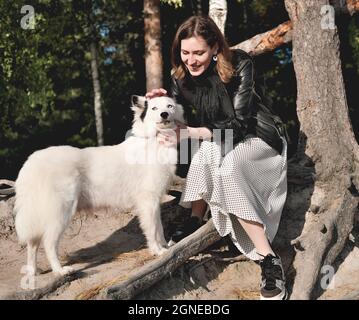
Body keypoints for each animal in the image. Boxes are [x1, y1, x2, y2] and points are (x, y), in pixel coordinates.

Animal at [14, 94, 184, 276]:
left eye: (169, 106)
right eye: (154, 108)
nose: (164, 114)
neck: (154, 140)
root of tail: (33, 161)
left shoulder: (155, 202)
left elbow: (159, 228)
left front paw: (165, 245)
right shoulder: (148, 201)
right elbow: (152, 229)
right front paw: (158, 251)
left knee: (32, 243)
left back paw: (33, 271)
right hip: (61, 213)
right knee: (48, 243)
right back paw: (60, 271)